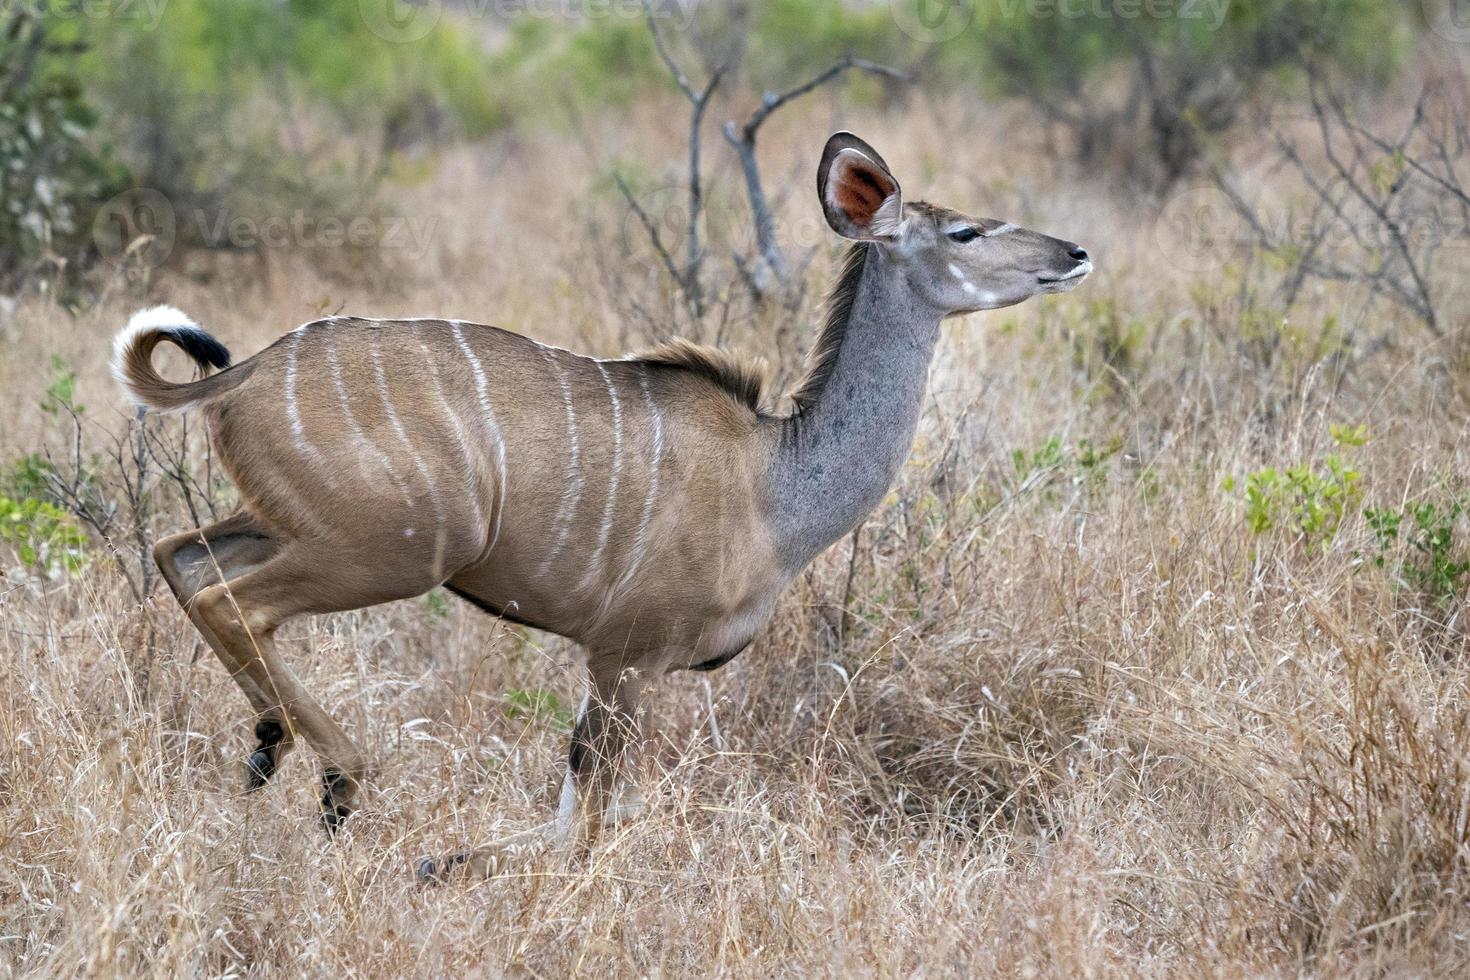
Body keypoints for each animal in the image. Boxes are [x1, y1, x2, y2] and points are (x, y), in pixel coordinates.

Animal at [114, 132, 1093, 881]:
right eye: (966, 230)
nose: (1076, 253)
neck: (775, 484)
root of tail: (241, 378)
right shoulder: (626, 656)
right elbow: (586, 823)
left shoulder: (614, 668)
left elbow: (570, 810)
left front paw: (437, 862)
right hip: (398, 550)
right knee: (227, 597)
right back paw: (339, 781)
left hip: (293, 525)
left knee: (180, 553)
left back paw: (267, 748)